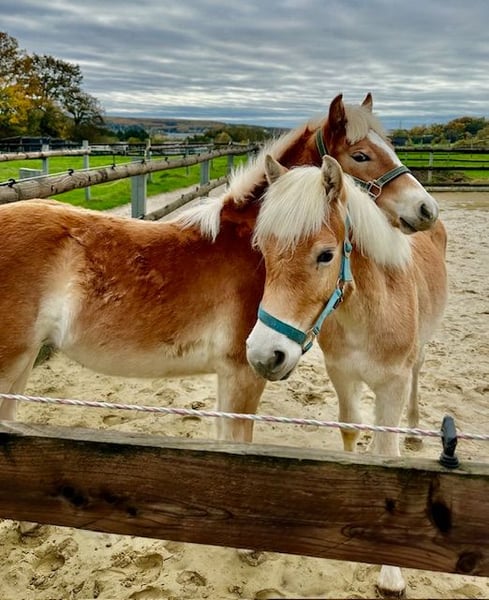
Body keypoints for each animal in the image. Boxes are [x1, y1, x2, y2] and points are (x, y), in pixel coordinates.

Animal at [246, 154, 448, 595]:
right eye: (263, 251)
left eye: (325, 255)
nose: (264, 355)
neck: (367, 313)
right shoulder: (341, 374)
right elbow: (351, 429)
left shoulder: (392, 383)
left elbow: (386, 451)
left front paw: (391, 573)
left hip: (419, 353)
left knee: (419, 375)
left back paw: (413, 429)